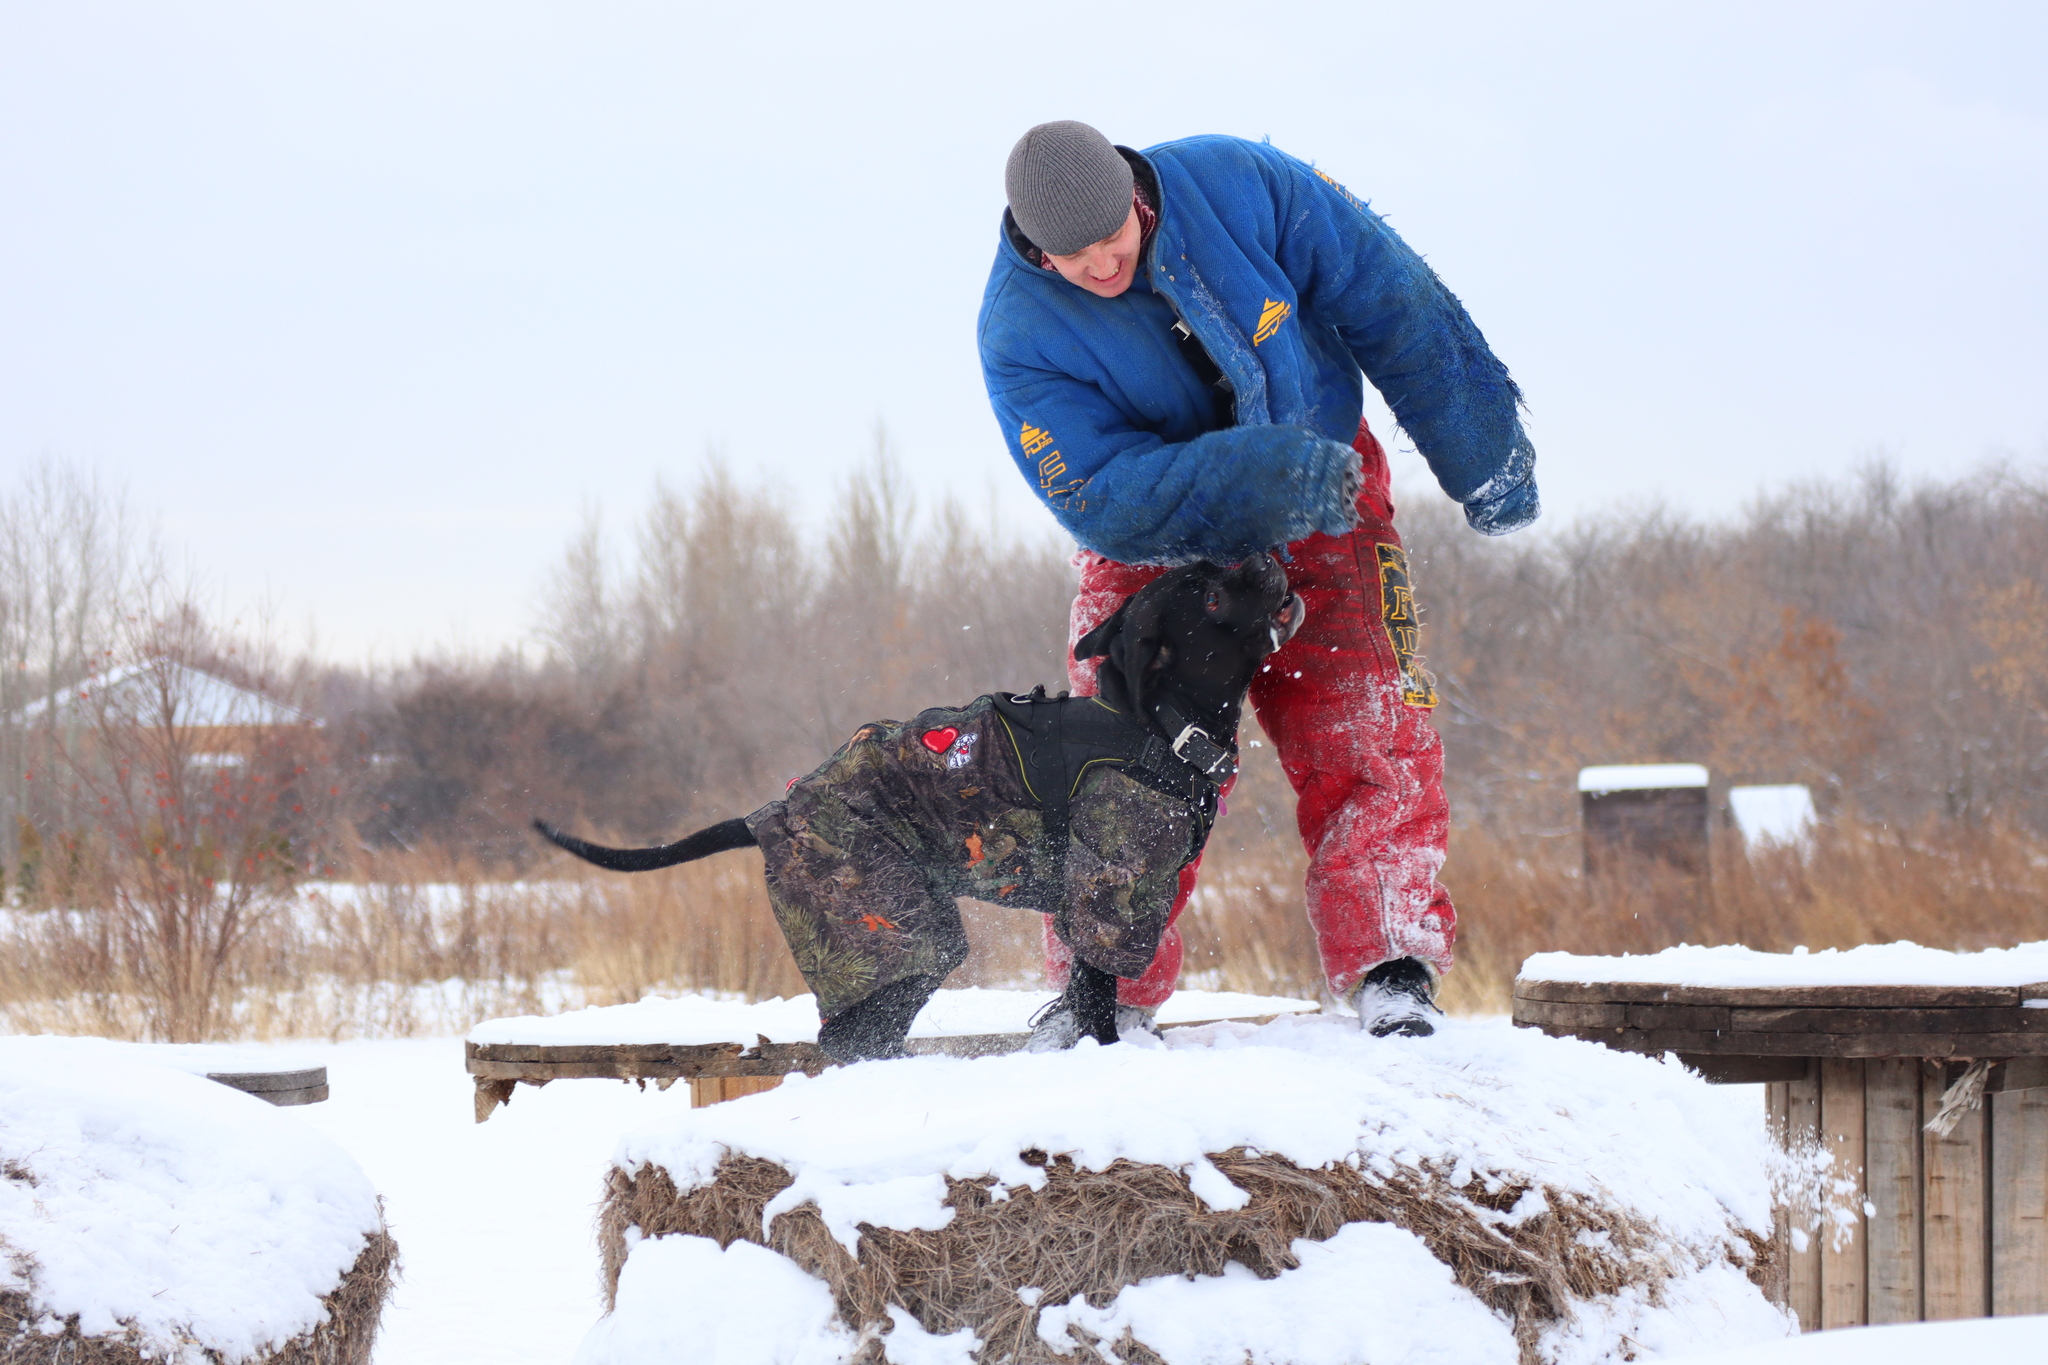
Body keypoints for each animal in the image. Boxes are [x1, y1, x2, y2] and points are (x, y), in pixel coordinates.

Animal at [528, 556, 1294, 1064]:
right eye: (1214, 595)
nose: (1262, 553)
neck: (1159, 726)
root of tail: (764, 815)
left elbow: (1083, 993)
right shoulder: (1109, 898)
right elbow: (1099, 999)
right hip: (895, 936)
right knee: (850, 1036)